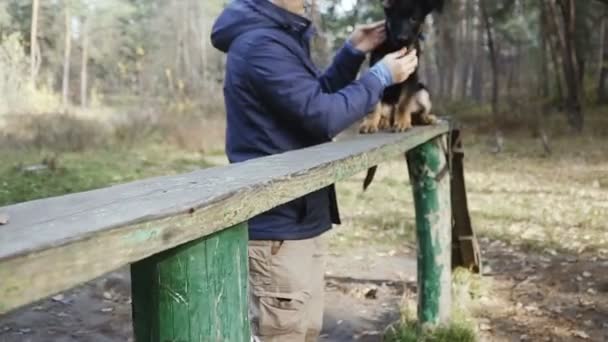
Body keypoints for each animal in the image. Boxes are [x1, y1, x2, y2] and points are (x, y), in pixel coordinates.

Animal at [358, 0, 444, 190]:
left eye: (413, 19)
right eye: (395, 16)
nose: (403, 38)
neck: (395, 47)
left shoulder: (412, 76)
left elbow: (404, 102)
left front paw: (403, 122)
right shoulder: (377, 70)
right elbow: (374, 105)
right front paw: (370, 122)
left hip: (423, 92)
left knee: (416, 112)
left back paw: (425, 118)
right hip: (389, 104)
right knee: (386, 113)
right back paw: (382, 122)